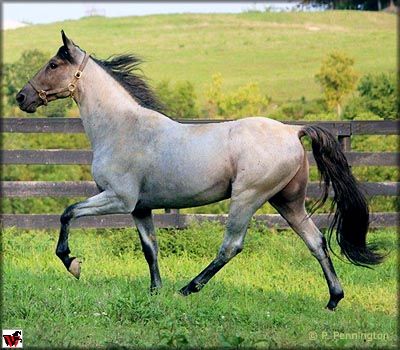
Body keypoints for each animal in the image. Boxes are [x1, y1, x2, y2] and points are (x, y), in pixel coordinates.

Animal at [16, 30, 384, 308]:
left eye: (53, 64)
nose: (21, 97)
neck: (122, 127)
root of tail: (293, 131)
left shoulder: (118, 199)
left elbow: (67, 213)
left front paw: (73, 264)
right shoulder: (139, 208)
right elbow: (150, 248)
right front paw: (155, 292)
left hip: (247, 198)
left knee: (231, 246)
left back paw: (189, 288)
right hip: (287, 202)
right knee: (316, 241)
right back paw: (334, 299)